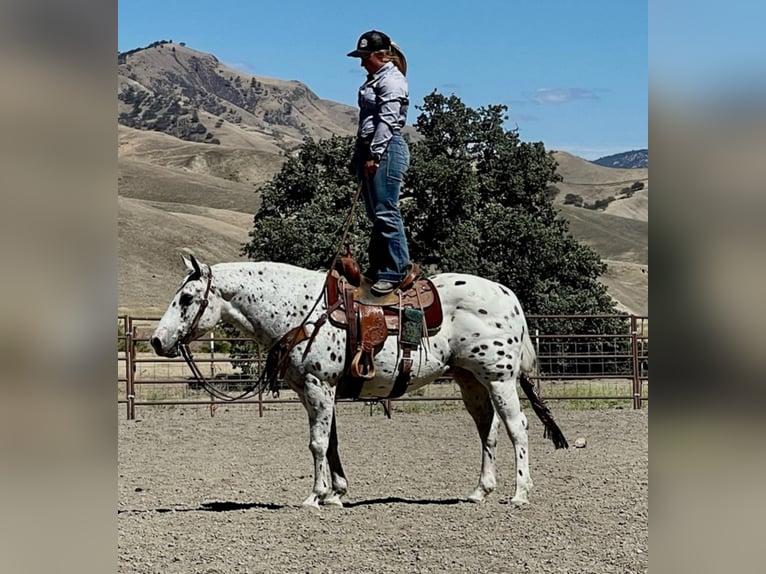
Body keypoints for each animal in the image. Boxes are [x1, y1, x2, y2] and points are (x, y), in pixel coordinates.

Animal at [152, 254, 568, 510]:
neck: (301, 311)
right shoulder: (317, 390)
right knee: (488, 430)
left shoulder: (319, 385)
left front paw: (315, 496)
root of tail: (508, 295)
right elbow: (331, 442)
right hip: (471, 381)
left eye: (187, 298)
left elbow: (317, 444)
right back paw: (480, 490)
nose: (157, 340)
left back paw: (520, 493)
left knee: (517, 428)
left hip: (500, 379)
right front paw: (336, 493)